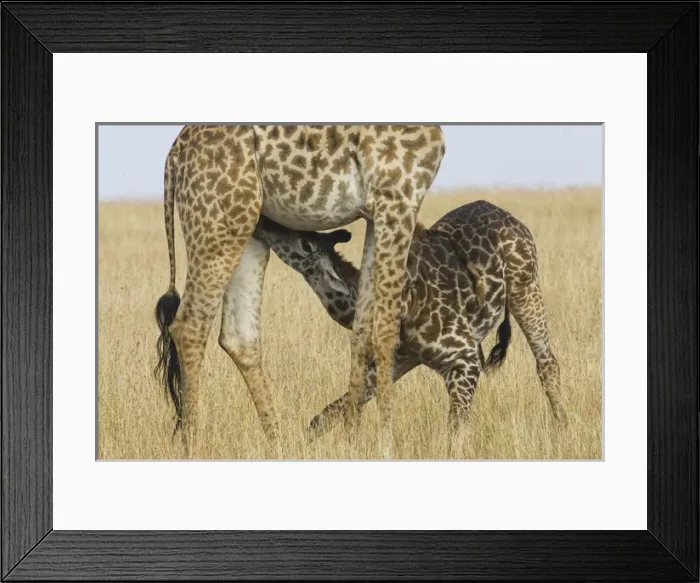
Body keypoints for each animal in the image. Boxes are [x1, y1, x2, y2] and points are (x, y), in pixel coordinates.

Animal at [153, 125, 445, 457]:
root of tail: (175, 153)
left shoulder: (375, 213)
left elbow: (362, 330)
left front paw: (352, 440)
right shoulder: (398, 198)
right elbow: (385, 332)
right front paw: (386, 448)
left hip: (246, 230)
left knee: (238, 335)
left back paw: (279, 445)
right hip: (218, 225)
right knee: (190, 327)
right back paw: (193, 448)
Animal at [251, 200, 568, 443]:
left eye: (304, 242)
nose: (263, 221)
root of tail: (509, 216)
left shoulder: (463, 359)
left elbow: (456, 433)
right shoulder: (400, 358)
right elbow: (327, 414)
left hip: (525, 289)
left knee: (547, 363)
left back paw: (564, 428)